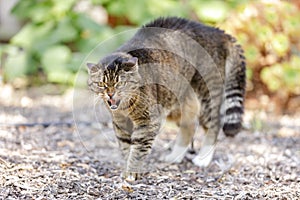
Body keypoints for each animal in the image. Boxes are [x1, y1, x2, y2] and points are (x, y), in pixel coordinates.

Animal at [86, 16, 246, 180]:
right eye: (101, 84)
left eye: (120, 83)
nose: (110, 94)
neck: (125, 108)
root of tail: (217, 32)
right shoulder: (120, 123)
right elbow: (125, 147)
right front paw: (126, 168)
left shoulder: (148, 122)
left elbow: (137, 149)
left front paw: (132, 172)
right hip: (176, 99)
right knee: (189, 125)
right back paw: (175, 156)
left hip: (206, 94)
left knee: (214, 124)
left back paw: (203, 158)